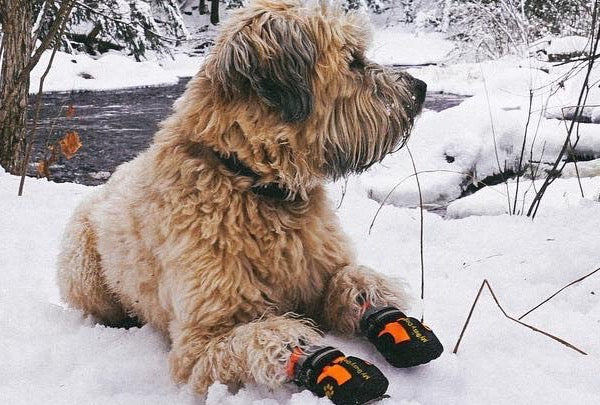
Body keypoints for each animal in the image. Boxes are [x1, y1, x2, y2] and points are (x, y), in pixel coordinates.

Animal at [57, 0, 426, 398]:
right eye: (354, 60)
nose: (420, 88)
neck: (254, 184)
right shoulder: (198, 344)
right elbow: (258, 337)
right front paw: (304, 349)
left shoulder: (319, 268)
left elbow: (350, 275)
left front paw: (377, 301)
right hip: (82, 266)